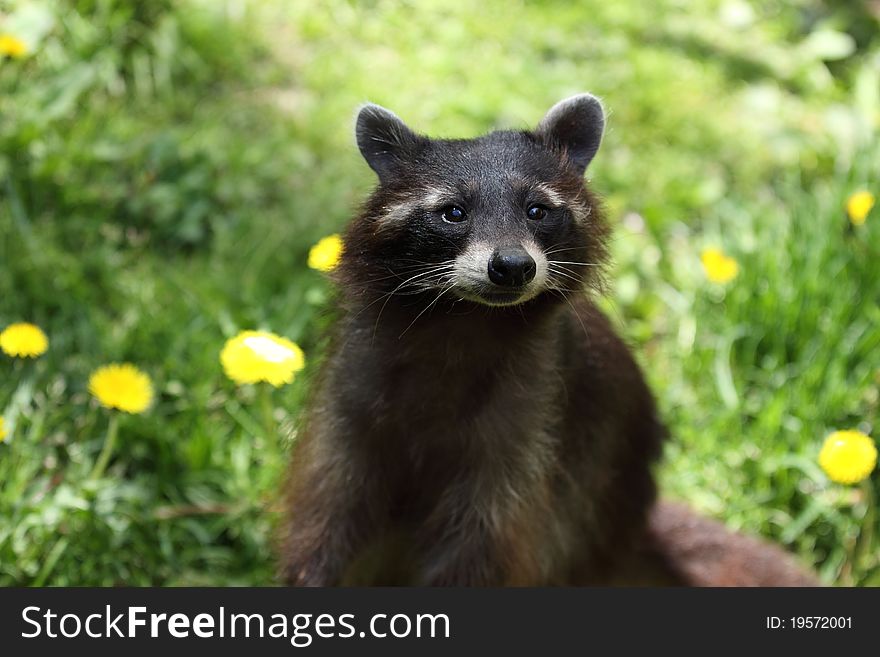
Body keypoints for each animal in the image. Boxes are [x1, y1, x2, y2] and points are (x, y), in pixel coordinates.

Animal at [280, 93, 820, 584]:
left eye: (537, 210)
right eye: (453, 212)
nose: (512, 267)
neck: (466, 318)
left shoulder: (529, 427)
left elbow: (483, 543)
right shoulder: (352, 399)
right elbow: (330, 514)